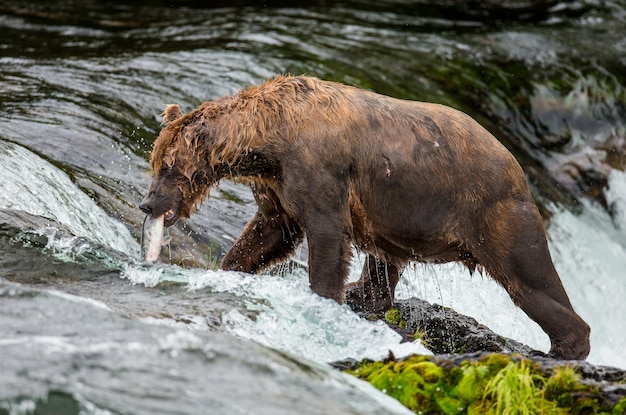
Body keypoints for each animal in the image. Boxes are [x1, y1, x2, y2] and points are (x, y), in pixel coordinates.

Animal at [139, 75, 588, 360]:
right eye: (155, 162)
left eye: (167, 167)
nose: (147, 204)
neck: (270, 142)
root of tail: (518, 167)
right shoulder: (278, 187)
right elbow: (270, 232)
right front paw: (231, 268)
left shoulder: (319, 171)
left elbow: (326, 237)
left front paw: (322, 298)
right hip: (398, 214)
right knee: (385, 259)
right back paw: (366, 294)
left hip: (490, 211)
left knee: (528, 279)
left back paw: (564, 346)